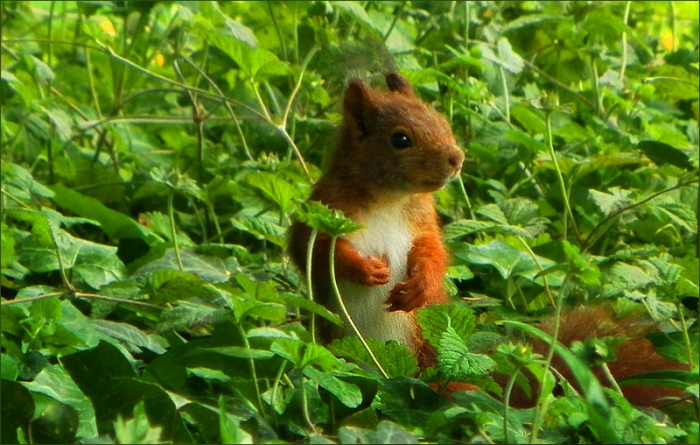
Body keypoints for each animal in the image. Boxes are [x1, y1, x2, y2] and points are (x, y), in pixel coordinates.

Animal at [288, 72, 688, 408]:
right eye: (400, 139)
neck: (389, 198)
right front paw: (363, 268)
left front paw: (421, 284)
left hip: (435, 358)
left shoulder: (422, 221)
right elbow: (312, 249)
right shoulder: (321, 210)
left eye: (443, 123)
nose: (456, 159)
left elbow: (433, 251)